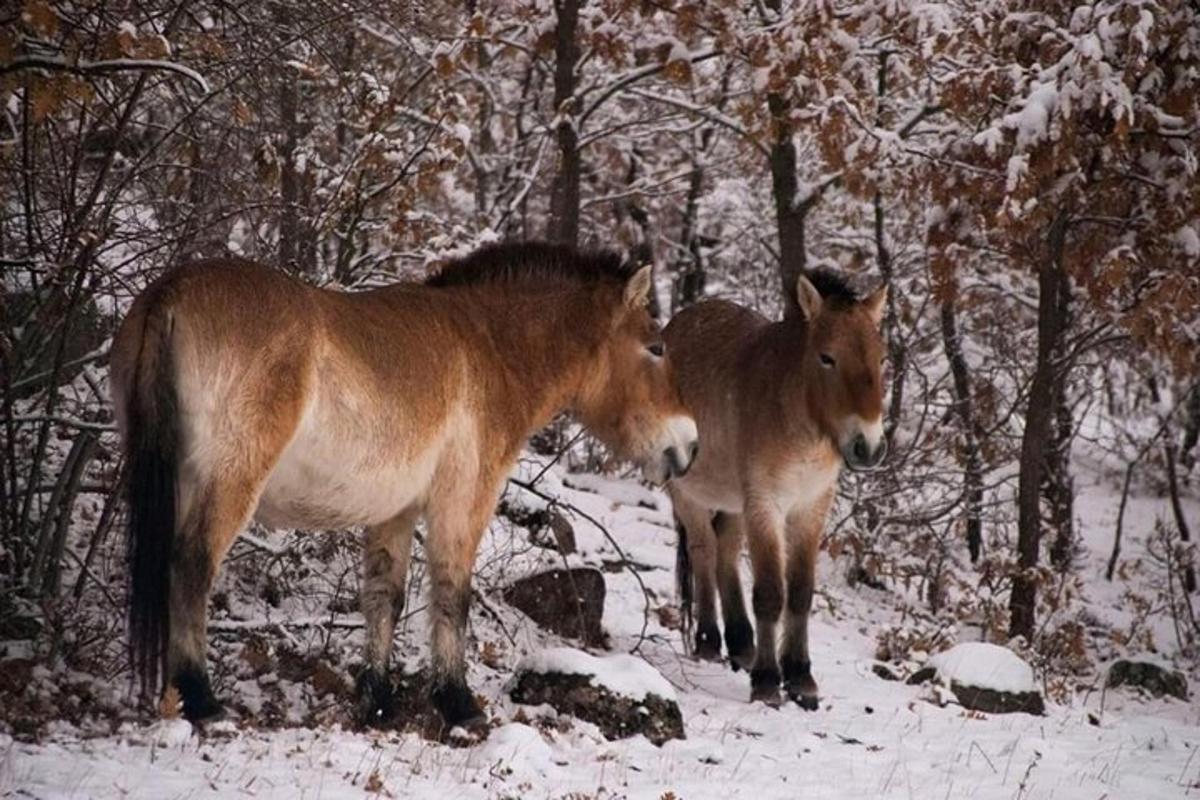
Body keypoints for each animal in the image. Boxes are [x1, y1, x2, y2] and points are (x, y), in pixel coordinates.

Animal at [113, 241, 700, 729]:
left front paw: (377, 702)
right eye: (656, 348)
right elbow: (452, 594)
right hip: (227, 483)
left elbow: (384, 598)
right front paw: (459, 706)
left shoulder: (393, 513)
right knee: (192, 566)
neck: (491, 347)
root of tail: (172, 293)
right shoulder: (463, 502)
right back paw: (203, 701)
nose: (690, 445)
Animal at [667, 272, 892, 710]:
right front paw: (769, 681)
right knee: (704, 552)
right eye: (827, 358)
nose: (869, 446)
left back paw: (742, 645)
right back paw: (708, 641)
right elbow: (771, 592)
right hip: (688, 496)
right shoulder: (766, 505)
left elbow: (800, 592)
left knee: (725, 554)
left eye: (880, 358)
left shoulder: (811, 508)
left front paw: (801, 677)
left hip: (734, 504)